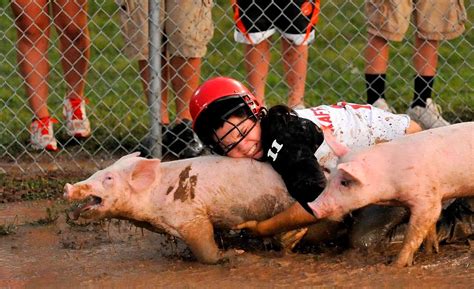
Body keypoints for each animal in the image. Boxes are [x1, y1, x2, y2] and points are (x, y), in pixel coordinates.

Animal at [63, 153, 292, 264]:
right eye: (97, 172)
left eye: (108, 178)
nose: (67, 187)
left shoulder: (190, 215)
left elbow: (205, 246)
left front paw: (234, 254)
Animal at [308, 121, 474, 266]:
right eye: (330, 178)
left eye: (345, 182)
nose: (313, 206)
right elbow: (430, 228)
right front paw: (431, 252)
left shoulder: (426, 199)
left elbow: (413, 235)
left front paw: (395, 265)